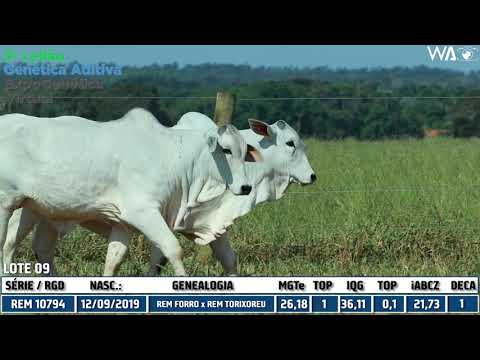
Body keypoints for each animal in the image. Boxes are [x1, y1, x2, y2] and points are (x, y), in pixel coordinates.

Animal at [4, 112, 318, 276]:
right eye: (290, 143)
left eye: (244, 152)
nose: (312, 176)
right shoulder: (145, 213)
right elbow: (171, 251)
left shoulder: (135, 221)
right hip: (14, 207)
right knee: (8, 245)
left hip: (42, 212)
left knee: (41, 250)